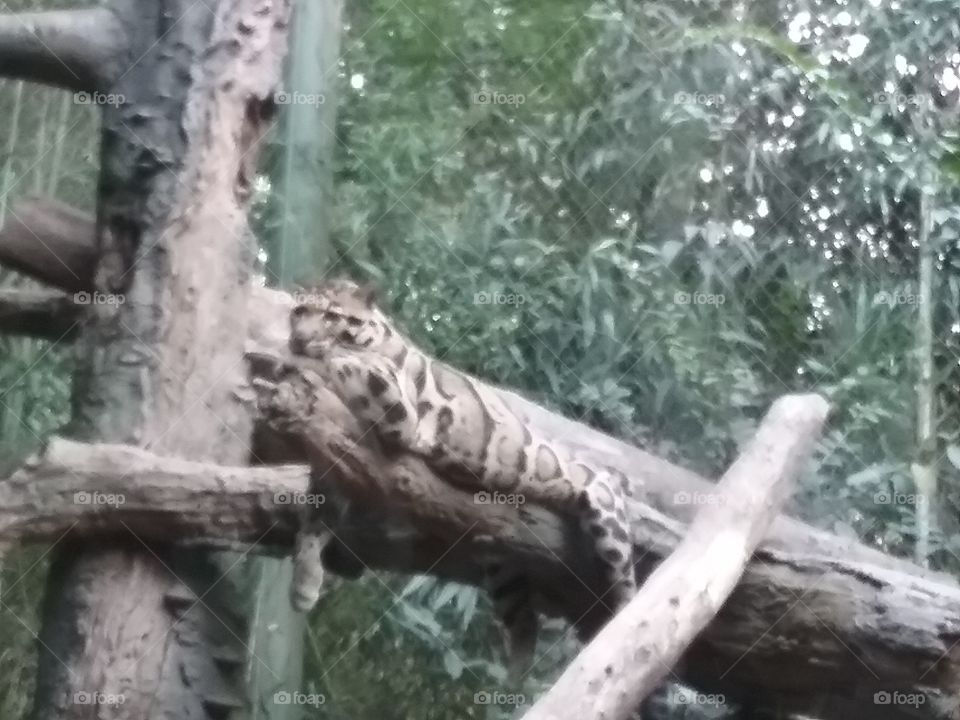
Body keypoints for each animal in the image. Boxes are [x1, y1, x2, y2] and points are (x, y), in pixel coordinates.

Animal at [286, 278, 637, 676]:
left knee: (627, 589)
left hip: (607, 521)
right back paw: (517, 664)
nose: (299, 337)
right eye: (299, 311)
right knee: (522, 619)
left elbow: (365, 372)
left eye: (332, 315)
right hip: (501, 565)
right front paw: (303, 585)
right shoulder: (336, 461)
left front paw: (342, 358)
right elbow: (314, 523)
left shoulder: (401, 418)